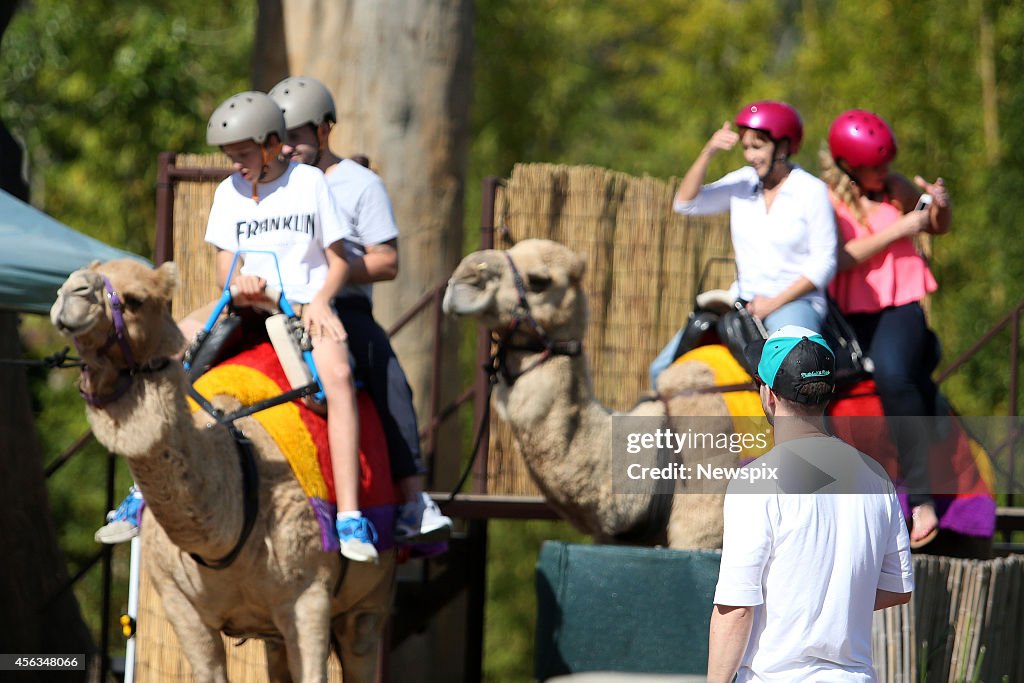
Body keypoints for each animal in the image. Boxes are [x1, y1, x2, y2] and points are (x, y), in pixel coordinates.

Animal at [50, 259, 395, 679]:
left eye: (135, 300)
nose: (71, 292)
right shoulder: (180, 603)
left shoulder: (309, 596)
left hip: (370, 601)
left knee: (362, 639)